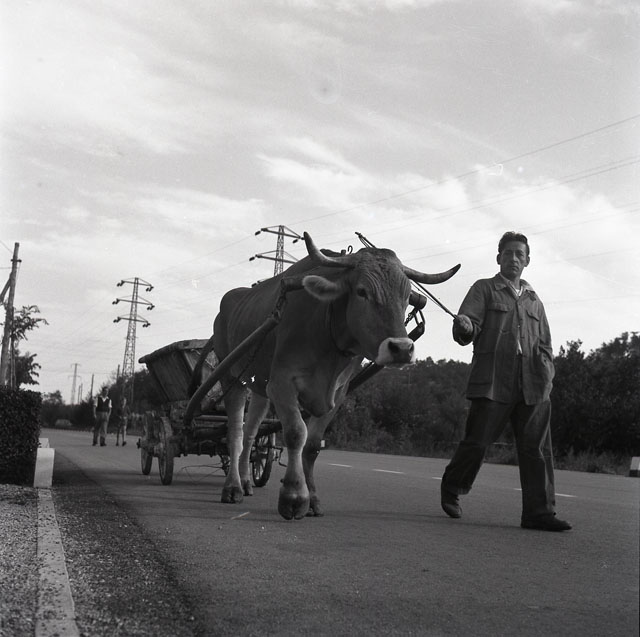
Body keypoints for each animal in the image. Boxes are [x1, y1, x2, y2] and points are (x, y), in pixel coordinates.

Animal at [191, 232, 460, 520]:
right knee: (236, 434)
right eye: (362, 291)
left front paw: (313, 499)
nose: (401, 348)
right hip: (232, 376)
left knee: (251, 433)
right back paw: (232, 487)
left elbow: (312, 445)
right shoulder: (282, 383)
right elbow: (296, 433)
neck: (326, 327)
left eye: (407, 295)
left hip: (259, 385)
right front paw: (294, 496)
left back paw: (245, 481)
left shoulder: (335, 394)